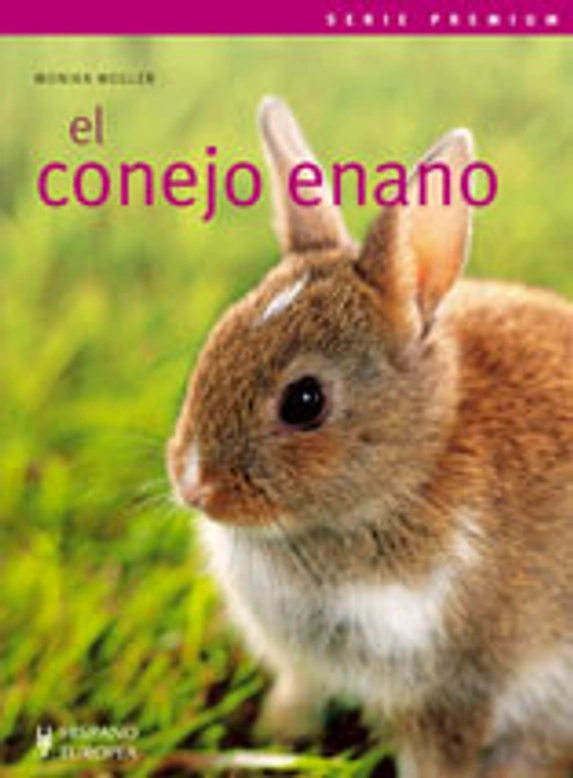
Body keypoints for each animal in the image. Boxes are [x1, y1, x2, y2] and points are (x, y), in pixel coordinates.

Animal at [166, 97, 573, 778]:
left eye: (305, 402)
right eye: (214, 343)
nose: (195, 487)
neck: (413, 473)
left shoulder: (452, 689)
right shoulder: (303, 666)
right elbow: (296, 697)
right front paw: (275, 736)